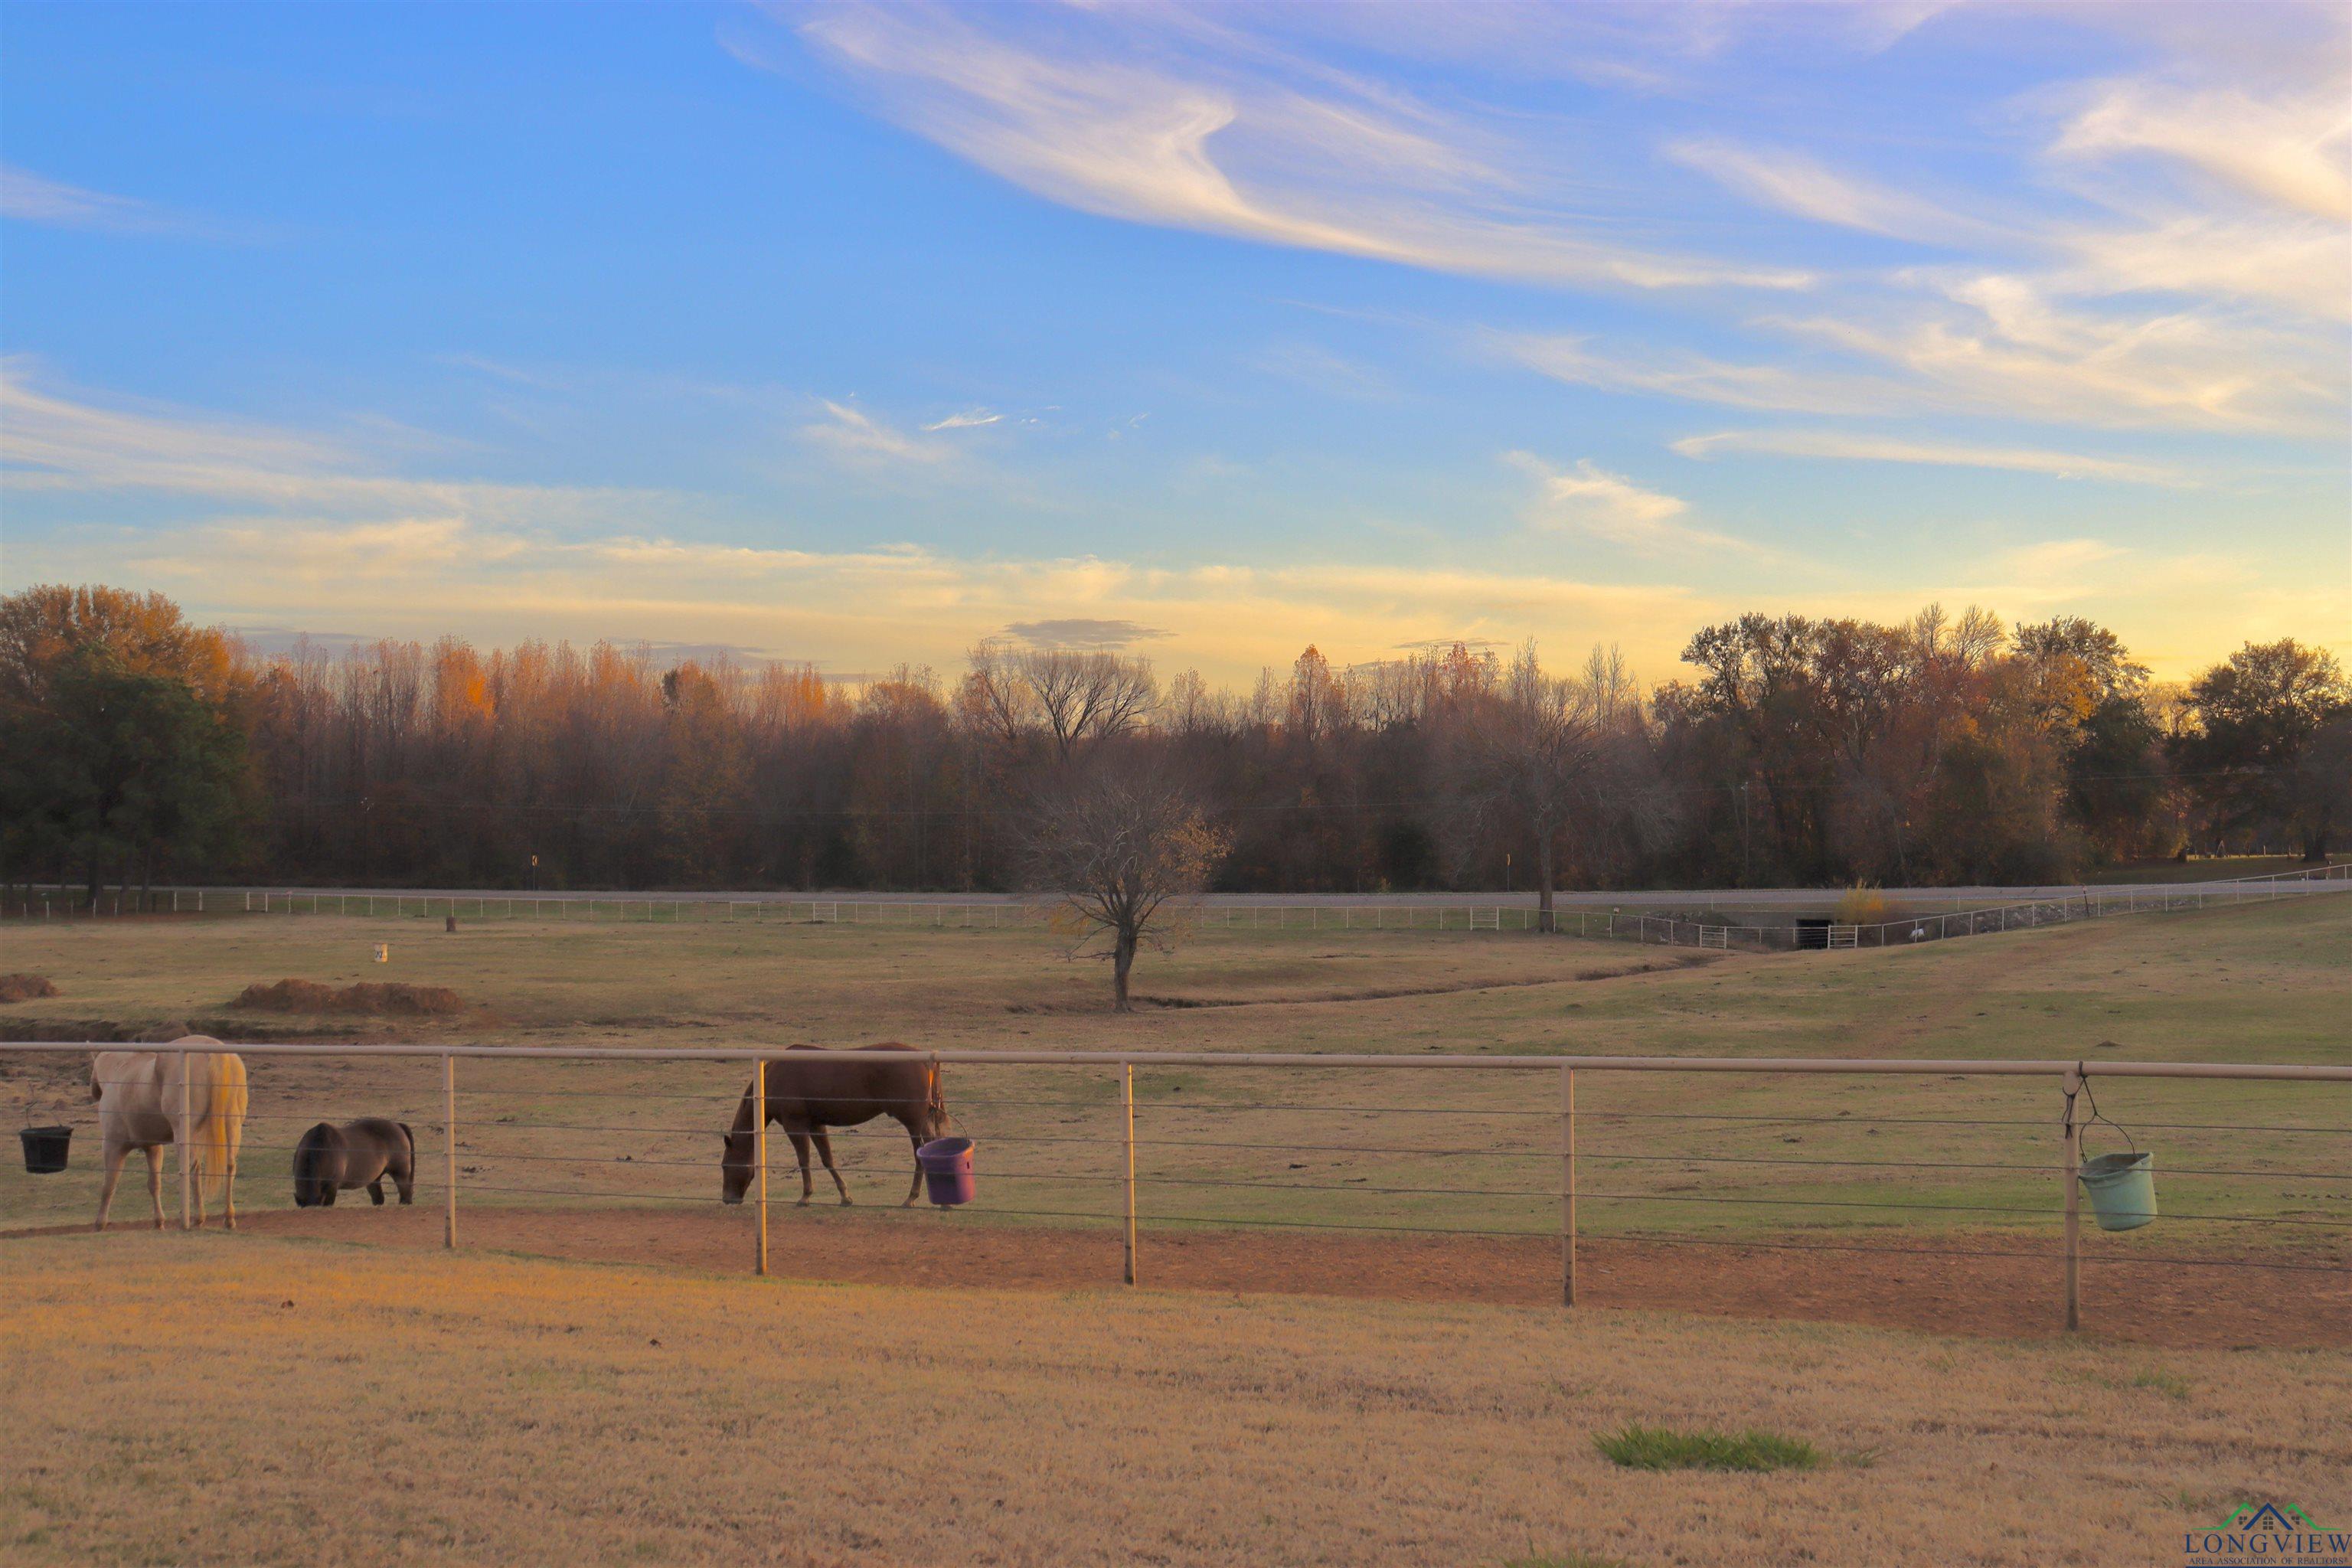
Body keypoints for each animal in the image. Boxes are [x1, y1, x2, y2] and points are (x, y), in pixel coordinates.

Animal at [93, 1044, 249, 1241]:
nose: (94, 1092)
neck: (121, 1070)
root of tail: (215, 1055)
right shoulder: (152, 1147)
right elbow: (154, 1184)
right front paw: (159, 1222)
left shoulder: (113, 1146)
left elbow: (109, 1184)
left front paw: (100, 1223)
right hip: (232, 1126)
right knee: (229, 1166)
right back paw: (228, 1218)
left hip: (187, 1134)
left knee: (193, 1169)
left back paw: (197, 1218)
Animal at [291, 1123, 416, 1213]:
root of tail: (397, 1125)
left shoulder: (332, 1187)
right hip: (374, 1179)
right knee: (379, 1198)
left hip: (400, 1174)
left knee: (405, 1196)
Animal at [714, 1048, 945, 1213]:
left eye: (725, 1165)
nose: (728, 1199)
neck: (774, 1077)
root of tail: (924, 1061)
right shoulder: (816, 1124)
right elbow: (827, 1159)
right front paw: (844, 1196)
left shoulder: (795, 1125)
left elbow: (804, 1160)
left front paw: (805, 1197)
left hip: (914, 1123)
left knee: (921, 1153)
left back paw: (913, 1198)